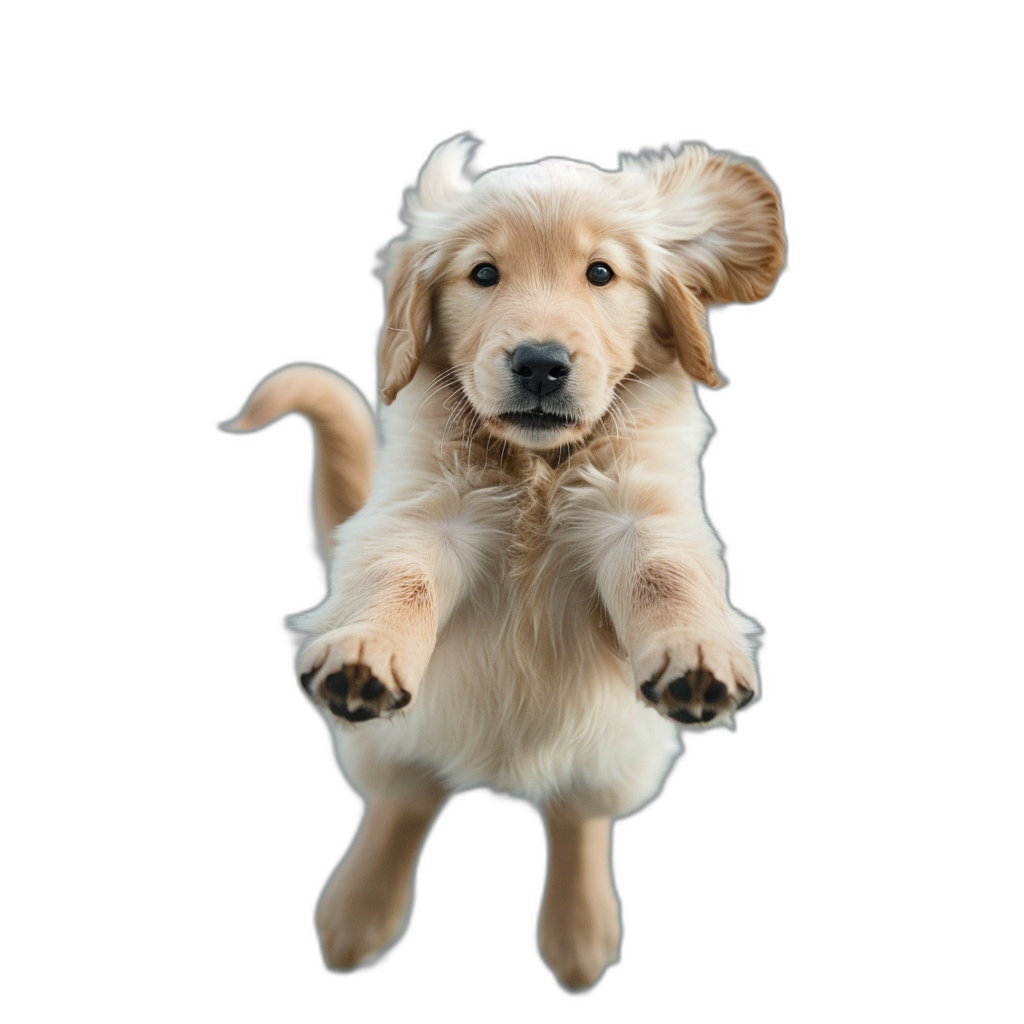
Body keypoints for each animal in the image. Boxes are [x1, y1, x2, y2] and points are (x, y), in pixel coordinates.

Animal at [224, 136, 782, 991]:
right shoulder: (428, 512)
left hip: (620, 756)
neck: (536, 467)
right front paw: (365, 652)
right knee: (405, 798)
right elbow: (400, 575)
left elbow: (664, 571)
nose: (541, 363)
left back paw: (580, 934)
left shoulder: (640, 509)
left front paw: (697, 652)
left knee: (578, 813)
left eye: (601, 273)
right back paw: (358, 914)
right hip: (386, 746)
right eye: (483, 274)